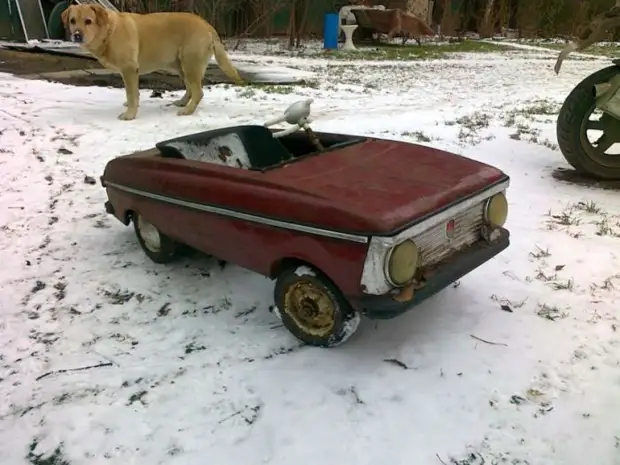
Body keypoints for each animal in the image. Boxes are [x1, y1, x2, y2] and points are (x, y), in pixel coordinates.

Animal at [61, 5, 242, 119]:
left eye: (88, 21)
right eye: (72, 21)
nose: (77, 35)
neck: (108, 31)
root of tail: (207, 25)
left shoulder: (129, 69)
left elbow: (132, 94)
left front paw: (130, 115)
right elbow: (134, 94)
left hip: (190, 65)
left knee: (199, 92)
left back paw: (187, 111)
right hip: (181, 67)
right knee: (191, 89)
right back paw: (182, 102)